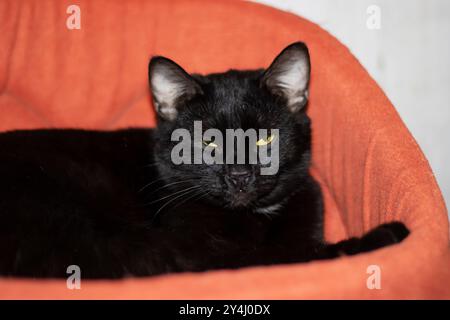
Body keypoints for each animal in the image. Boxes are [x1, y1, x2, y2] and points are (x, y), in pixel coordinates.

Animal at [0, 42, 410, 278]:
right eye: (209, 142)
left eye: (265, 138)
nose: (240, 175)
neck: (256, 215)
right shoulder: (217, 255)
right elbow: (305, 255)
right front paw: (389, 234)